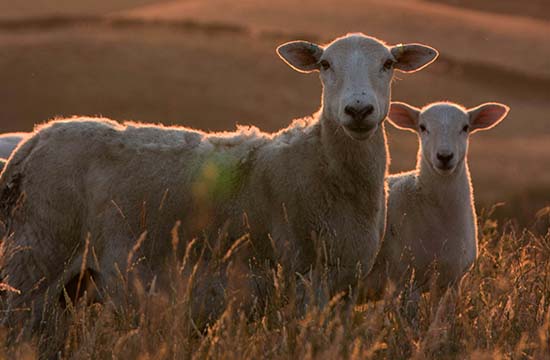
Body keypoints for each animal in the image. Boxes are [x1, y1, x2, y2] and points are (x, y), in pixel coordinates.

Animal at [0, 33, 440, 330]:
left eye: (388, 64)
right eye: (325, 65)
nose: (359, 110)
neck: (326, 167)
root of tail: (33, 141)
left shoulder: (343, 289)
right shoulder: (302, 280)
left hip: (64, 284)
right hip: (33, 261)